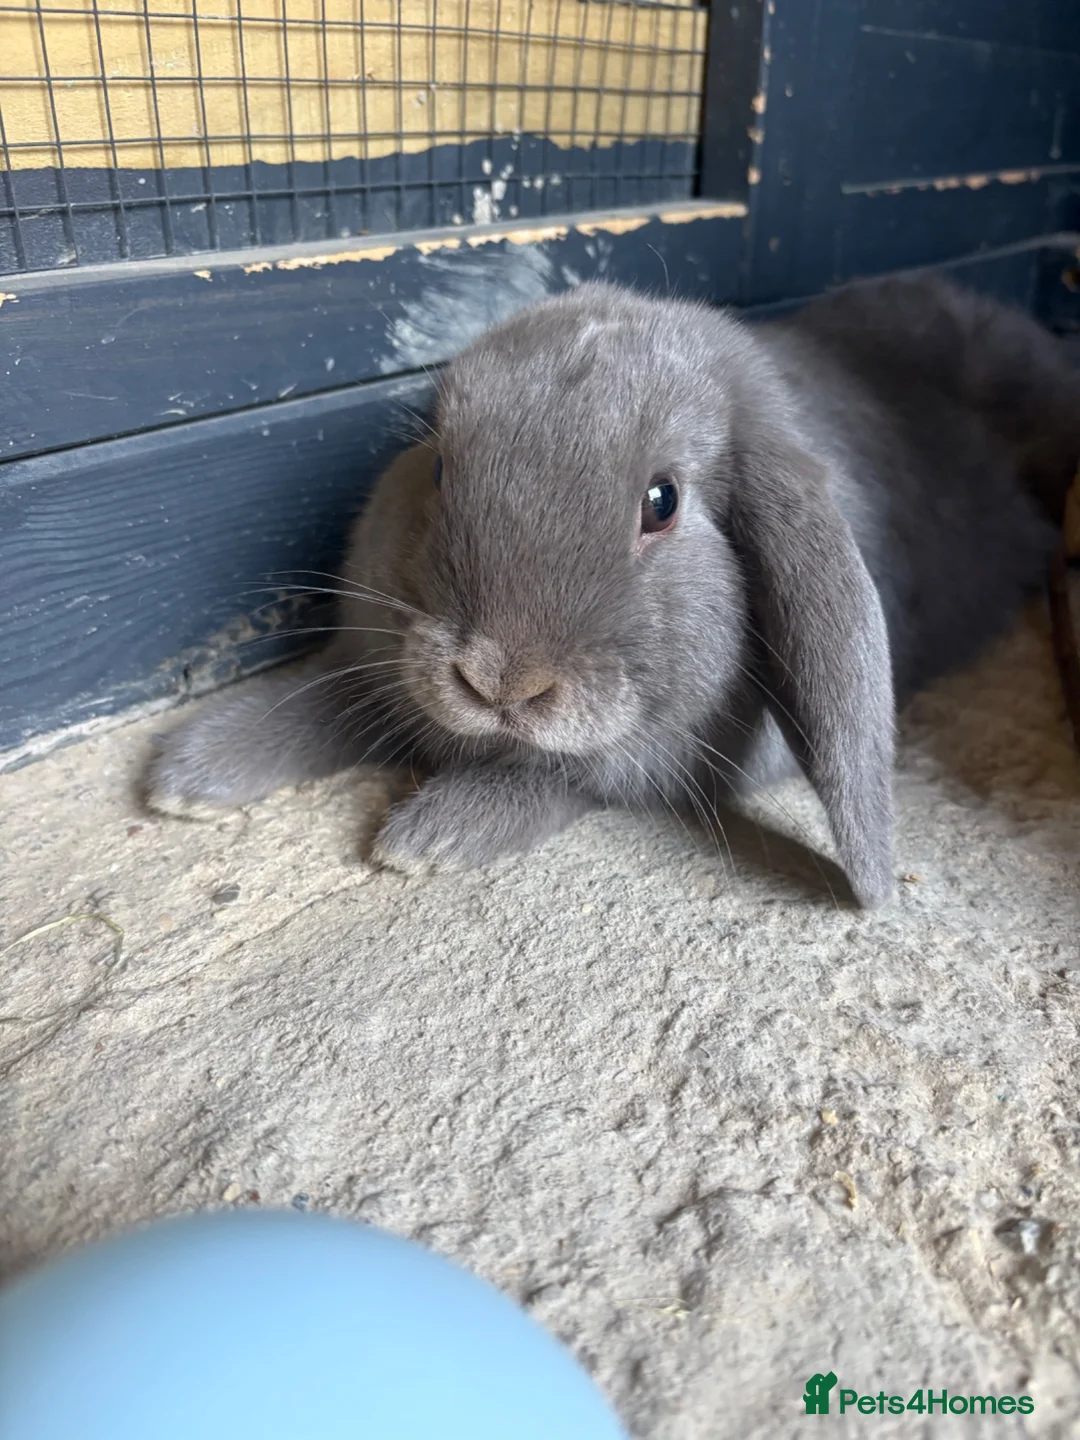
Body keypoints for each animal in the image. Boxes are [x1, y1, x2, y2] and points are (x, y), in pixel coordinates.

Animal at [144, 273, 1078, 907]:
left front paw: (435, 834)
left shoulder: (657, 758)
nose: (499, 681)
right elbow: (328, 703)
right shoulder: (378, 670)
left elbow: (572, 777)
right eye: (438, 467)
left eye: (662, 502)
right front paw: (189, 770)